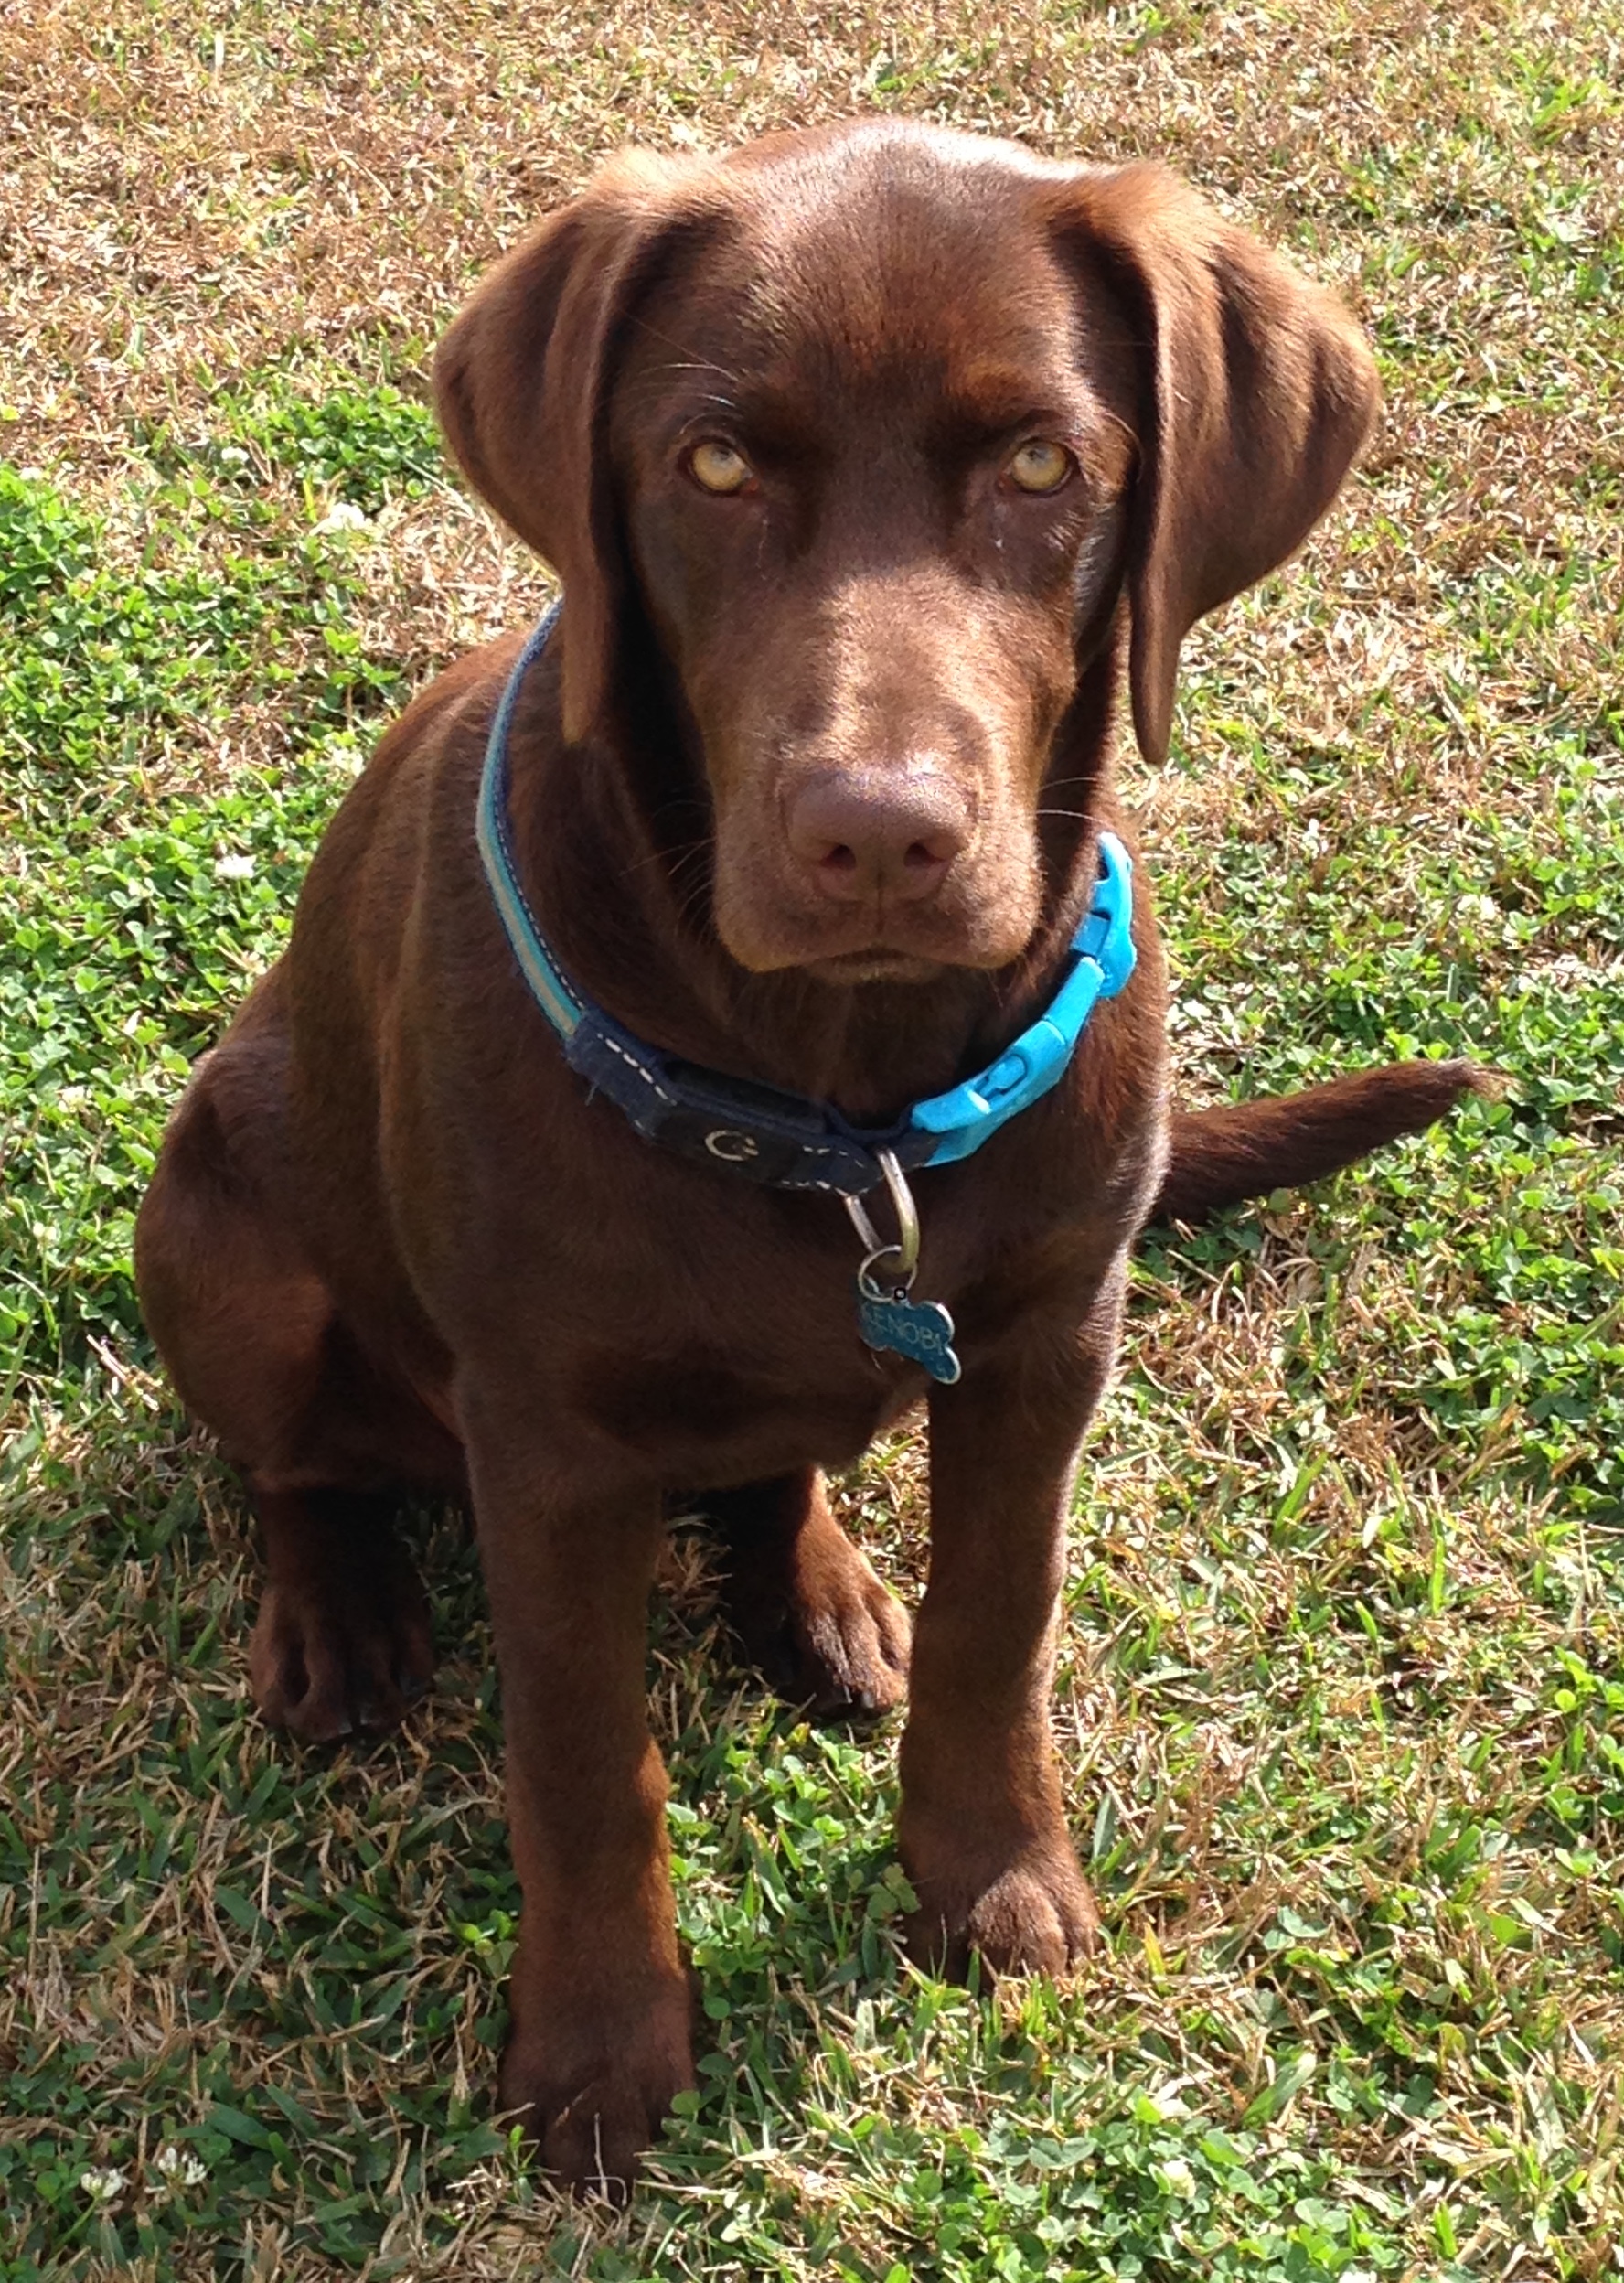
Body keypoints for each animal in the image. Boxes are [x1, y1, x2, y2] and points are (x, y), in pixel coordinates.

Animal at [139, 124, 1478, 2192]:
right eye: (711, 468)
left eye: (1041, 468)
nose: (878, 836)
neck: (842, 1114)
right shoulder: (545, 1438)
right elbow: (585, 1761)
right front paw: (599, 2045)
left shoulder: (1048, 1342)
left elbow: (1002, 1629)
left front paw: (993, 1880)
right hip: (231, 1218)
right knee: (293, 1459)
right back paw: (339, 1619)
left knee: (782, 1463)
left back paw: (830, 1590)